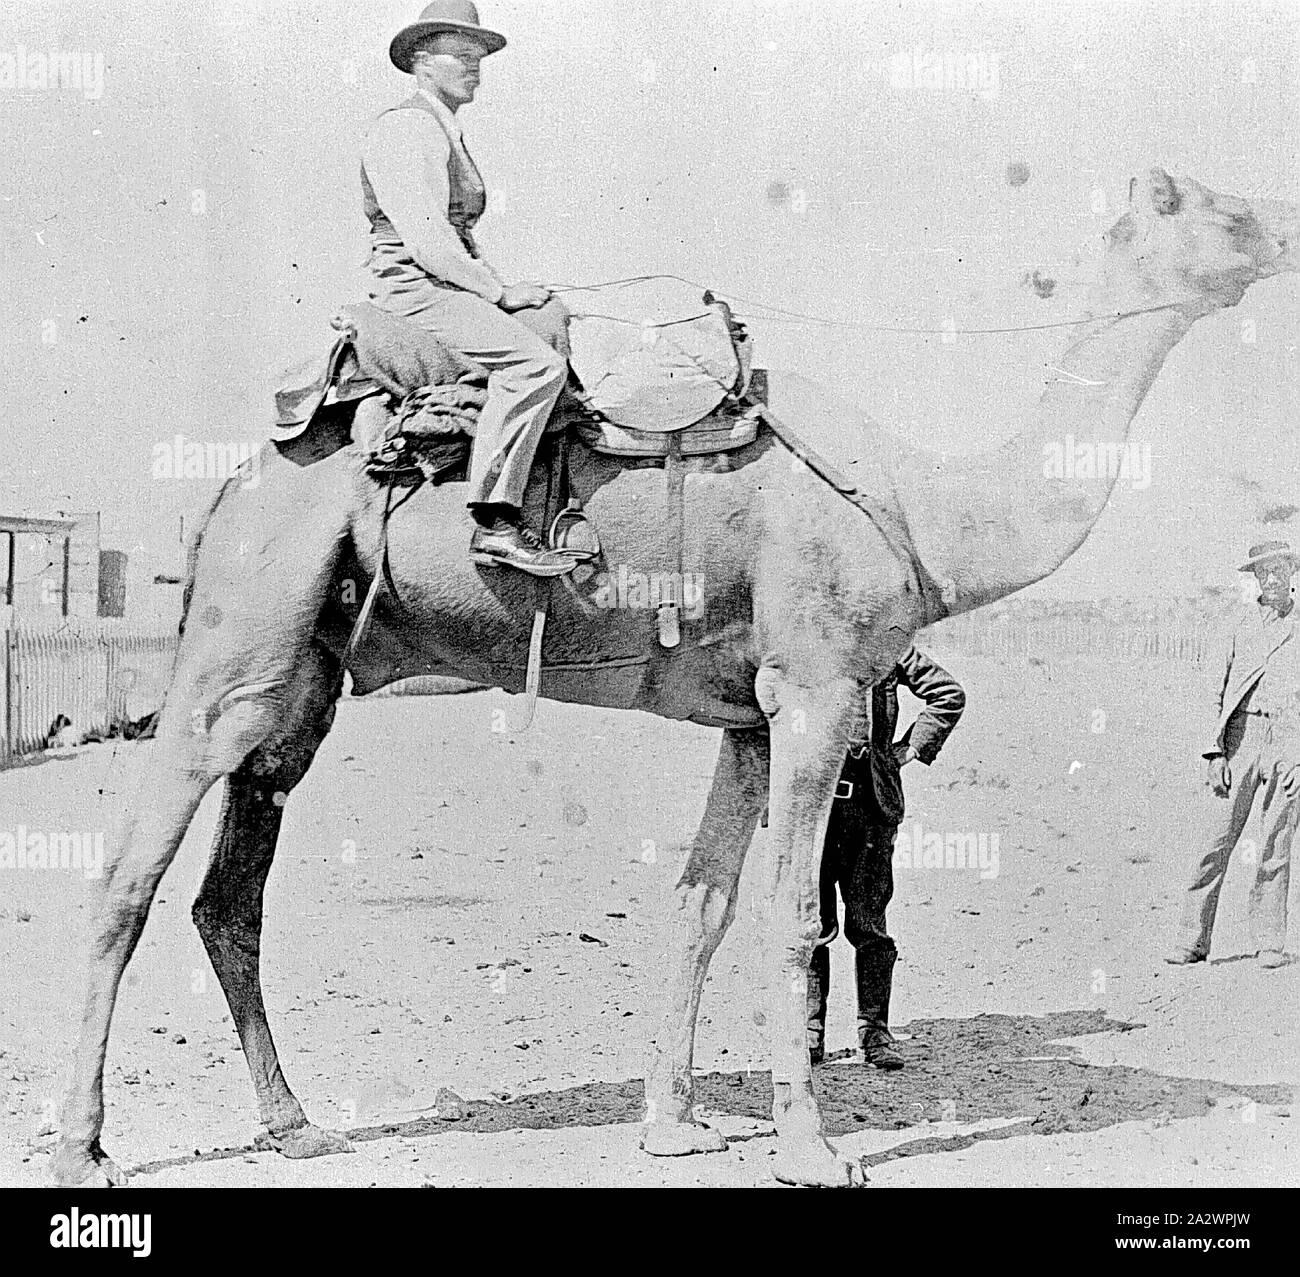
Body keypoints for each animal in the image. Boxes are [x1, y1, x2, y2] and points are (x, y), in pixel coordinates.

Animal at [53, 170, 1300, 1191]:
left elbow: (700, 903)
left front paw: (674, 1125)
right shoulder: (816, 689)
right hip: (234, 640)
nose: (1284, 222)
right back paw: (85, 1143)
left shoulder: (749, 716)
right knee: (125, 881)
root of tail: (229, 480)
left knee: (231, 891)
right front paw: (810, 1147)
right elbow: (792, 915)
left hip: (303, 678)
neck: (925, 509)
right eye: (1223, 211)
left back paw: (295, 1123)